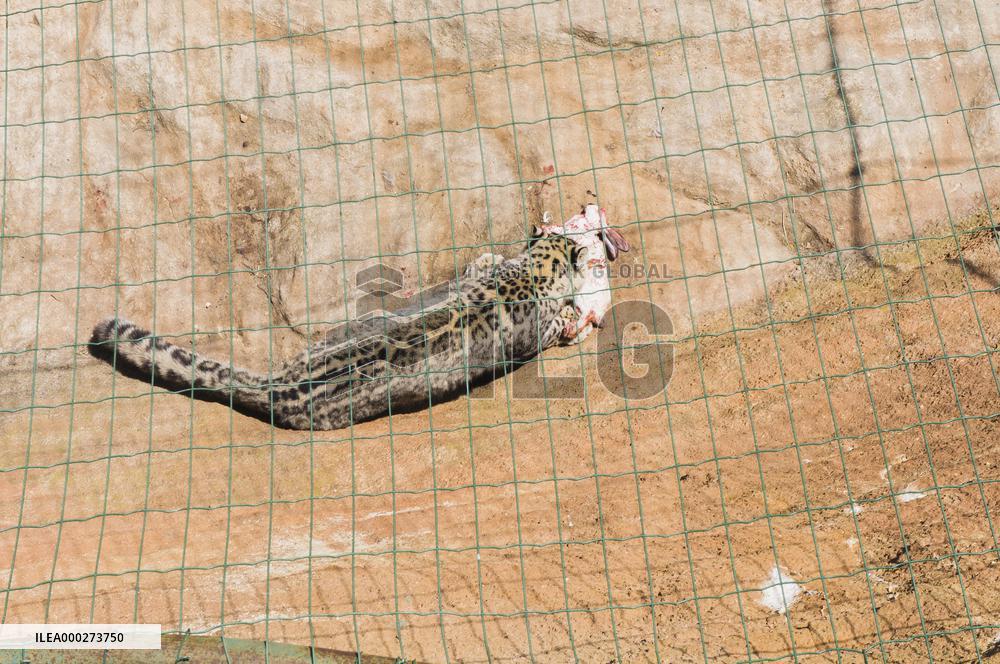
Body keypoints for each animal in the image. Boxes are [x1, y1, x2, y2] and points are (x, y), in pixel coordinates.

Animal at [88, 232, 589, 430]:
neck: (532, 273)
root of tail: (281, 384)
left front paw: (486, 256)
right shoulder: (537, 330)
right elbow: (556, 325)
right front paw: (576, 318)